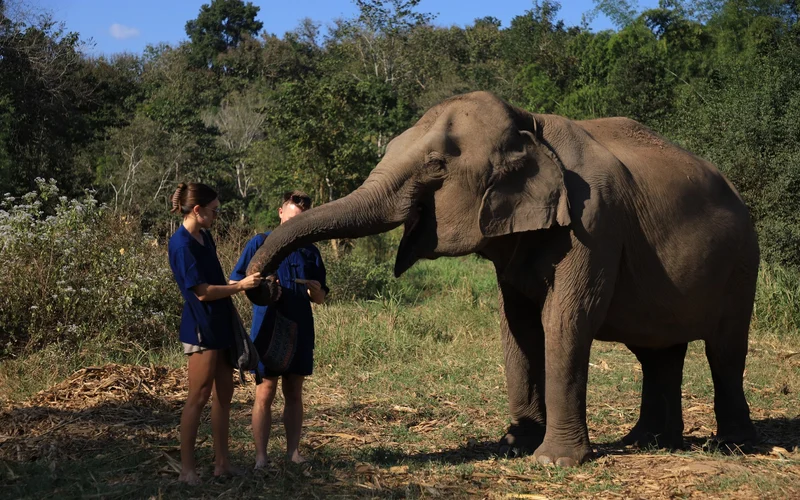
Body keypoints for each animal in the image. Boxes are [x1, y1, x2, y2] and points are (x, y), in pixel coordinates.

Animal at [245, 91, 759, 466]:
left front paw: (553, 462)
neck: (531, 123)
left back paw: (730, 446)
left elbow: (565, 321)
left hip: (741, 264)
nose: (262, 285)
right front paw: (513, 446)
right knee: (658, 352)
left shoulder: (595, 225)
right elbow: (517, 326)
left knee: (724, 349)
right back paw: (648, 441)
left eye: (436, 166)